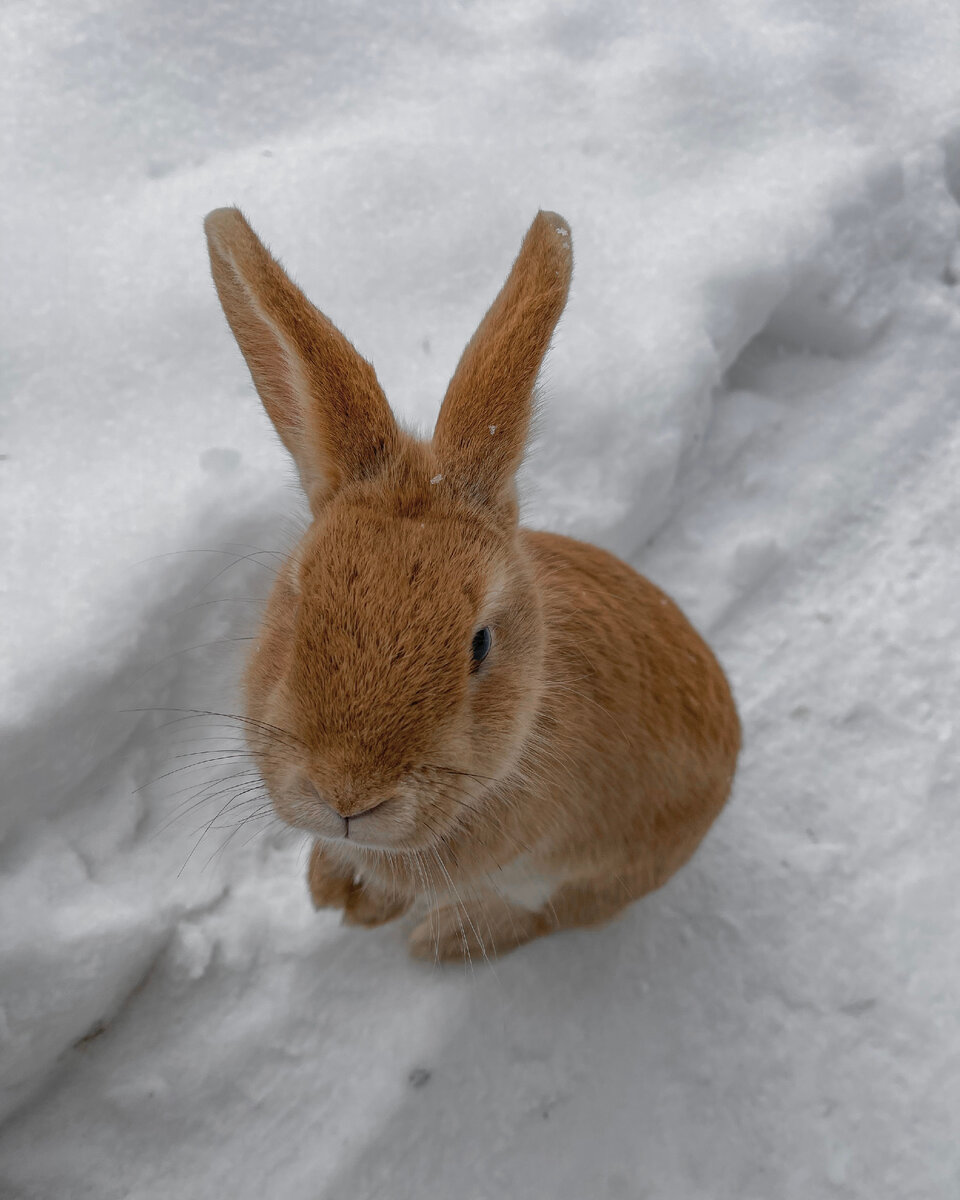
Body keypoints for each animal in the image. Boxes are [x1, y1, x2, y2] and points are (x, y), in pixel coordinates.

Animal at [202, 204, 744, 955]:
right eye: (299, 599)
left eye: (480, 645)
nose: (346, 796)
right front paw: (328, 886)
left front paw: (361, 904)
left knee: (548, 914)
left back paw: (446, 939)